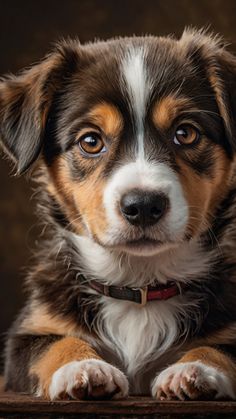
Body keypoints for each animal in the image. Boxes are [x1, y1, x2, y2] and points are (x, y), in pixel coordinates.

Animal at [0, 27, 236, 402]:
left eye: (186, 133)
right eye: (90, 141)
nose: (143, 206)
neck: (139, 283)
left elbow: (220, 349)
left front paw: (194, 370)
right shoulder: (25, 337)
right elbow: (55, 344)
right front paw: (83, 368)